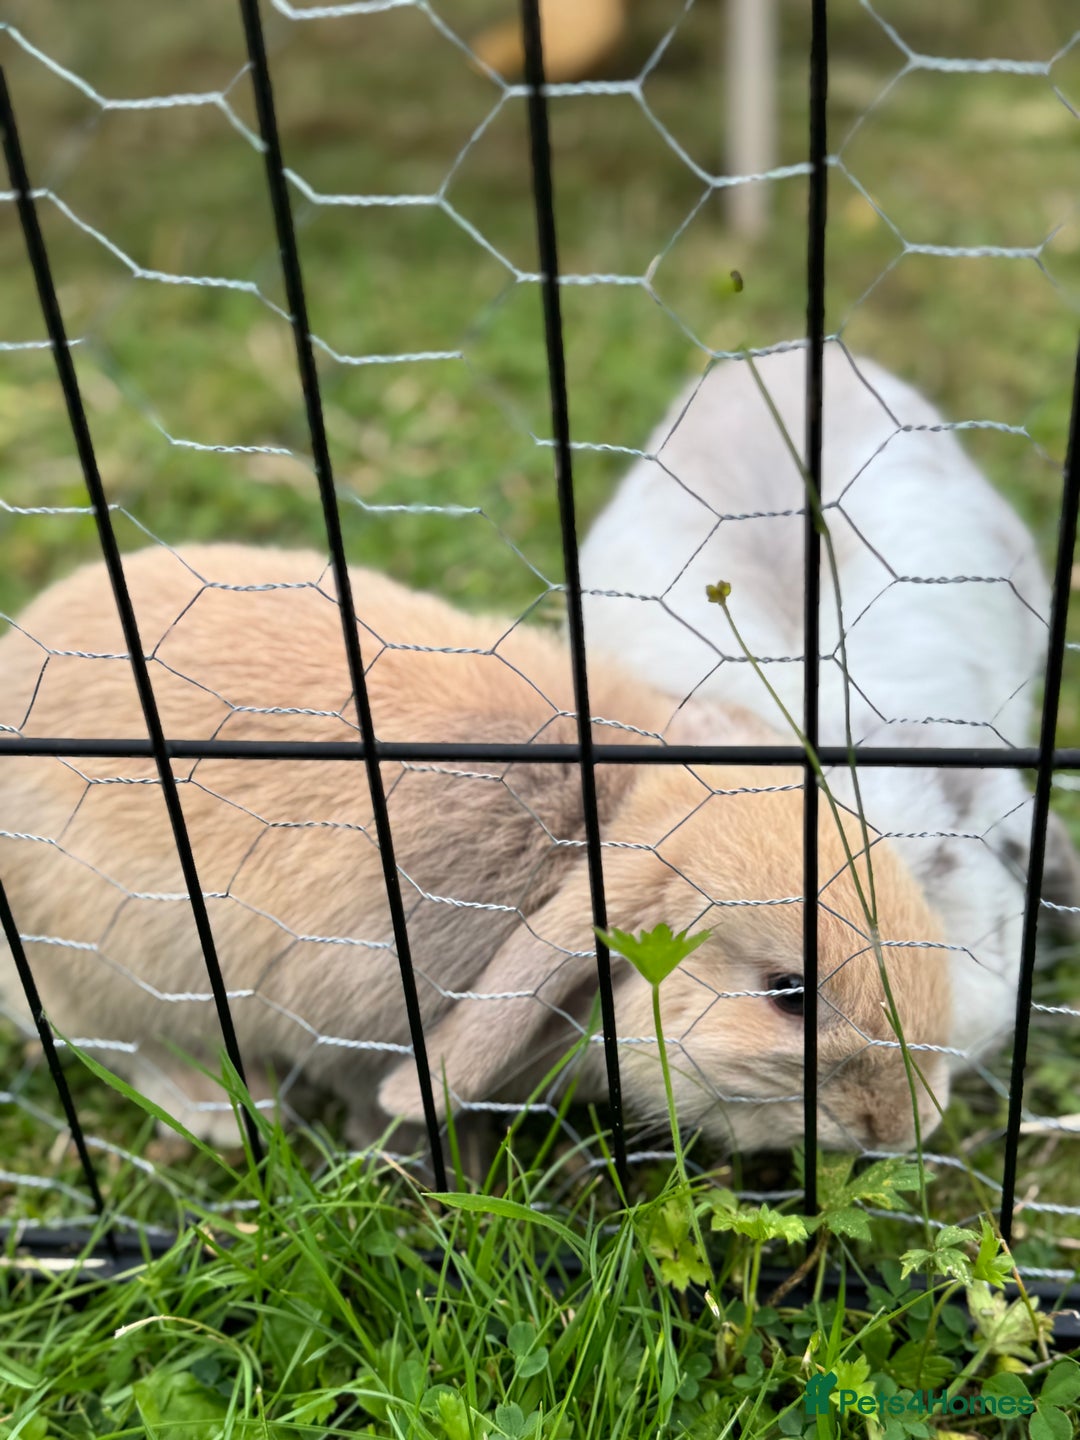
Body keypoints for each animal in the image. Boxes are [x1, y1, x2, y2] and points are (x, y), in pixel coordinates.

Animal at [0, 542, 952, 1155]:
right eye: (789, 994)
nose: (911, 1126)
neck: (600, 823)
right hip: (100, 965)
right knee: (104, 1036)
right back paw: (223, 1115)